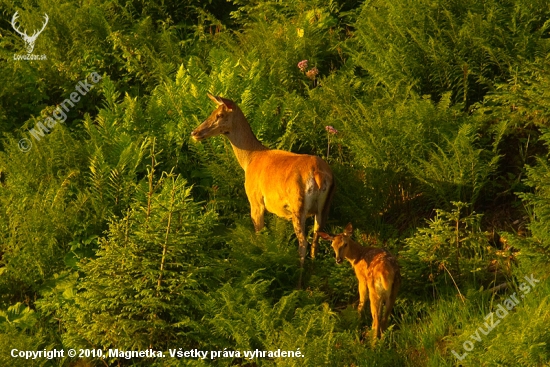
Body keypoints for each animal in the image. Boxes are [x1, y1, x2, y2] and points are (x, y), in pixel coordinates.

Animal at [192, 93, 334, 286]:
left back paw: (298, 284)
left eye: (219, 115)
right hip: (323, 208)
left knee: (303, 243)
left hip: (298, 206)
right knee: (316, 240)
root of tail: (319, 174)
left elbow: (259, 235)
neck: (250, 159)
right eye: (212, 112)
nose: (195, 133)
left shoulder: (255, 201)